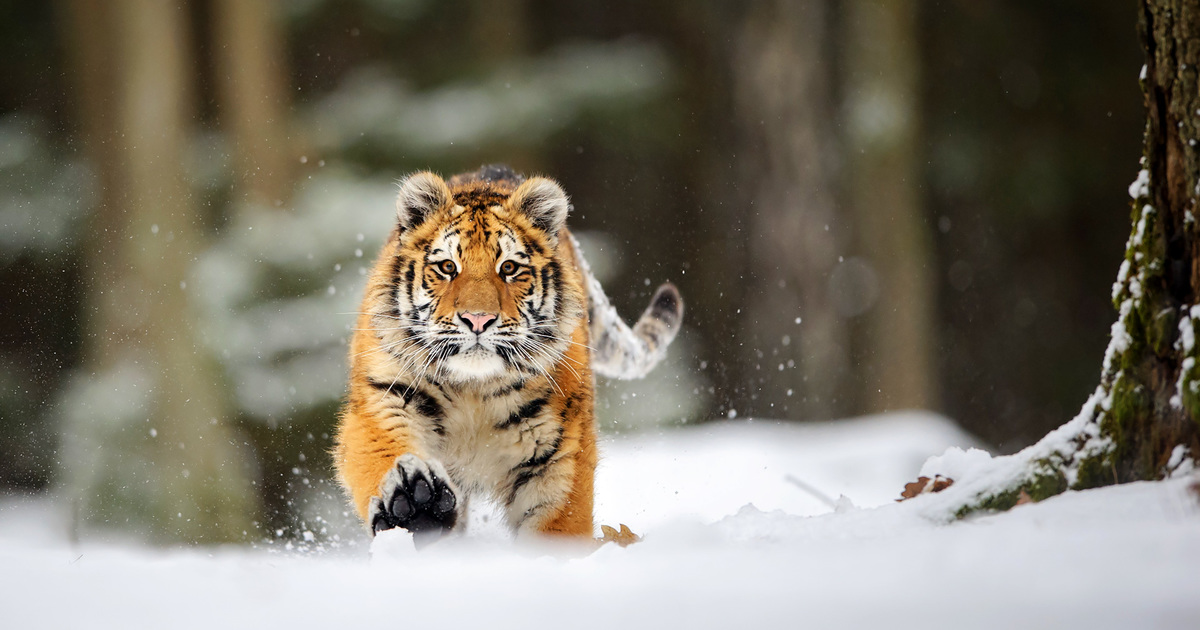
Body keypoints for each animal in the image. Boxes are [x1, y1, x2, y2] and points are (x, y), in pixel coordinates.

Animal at [333, 164, 686, 542]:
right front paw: (415, 503)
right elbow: (381, 449)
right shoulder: (383, 397)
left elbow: (558, 528)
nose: (478, 319)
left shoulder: (558, 454)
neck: (472, 391)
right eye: (447, 267)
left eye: (509, 268)